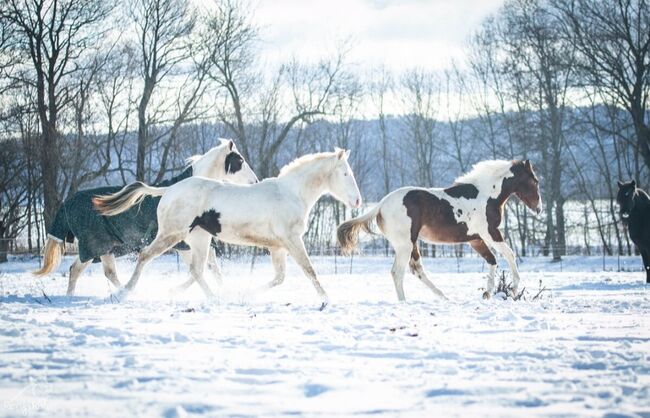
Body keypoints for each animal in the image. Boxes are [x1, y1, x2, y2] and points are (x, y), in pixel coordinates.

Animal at [93, 147, 362, 306]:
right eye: (345, 173)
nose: (358, 201)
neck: (290, 193)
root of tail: (168, 190)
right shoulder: (292, 241)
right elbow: (309, 270)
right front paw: (326, 299)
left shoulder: (278, 247)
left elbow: (279, 278)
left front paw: (244, 293)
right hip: (171, 235)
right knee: (145, 256)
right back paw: (122, 293)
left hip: (199, 240)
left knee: (197, 270)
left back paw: (213, 297)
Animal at [336, 159, 540, 300]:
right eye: (534, 182)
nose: (539, 209)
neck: (487, 196)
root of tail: (380, 205)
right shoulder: (490, 233)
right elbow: (510, 255)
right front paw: (513, 290)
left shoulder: (475, 240)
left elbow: (492, 261)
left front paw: (487, 294)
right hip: (404, 245)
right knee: (398, 273)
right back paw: (404, 302)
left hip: (412, 244)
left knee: (417, 270)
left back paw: (443, 296)